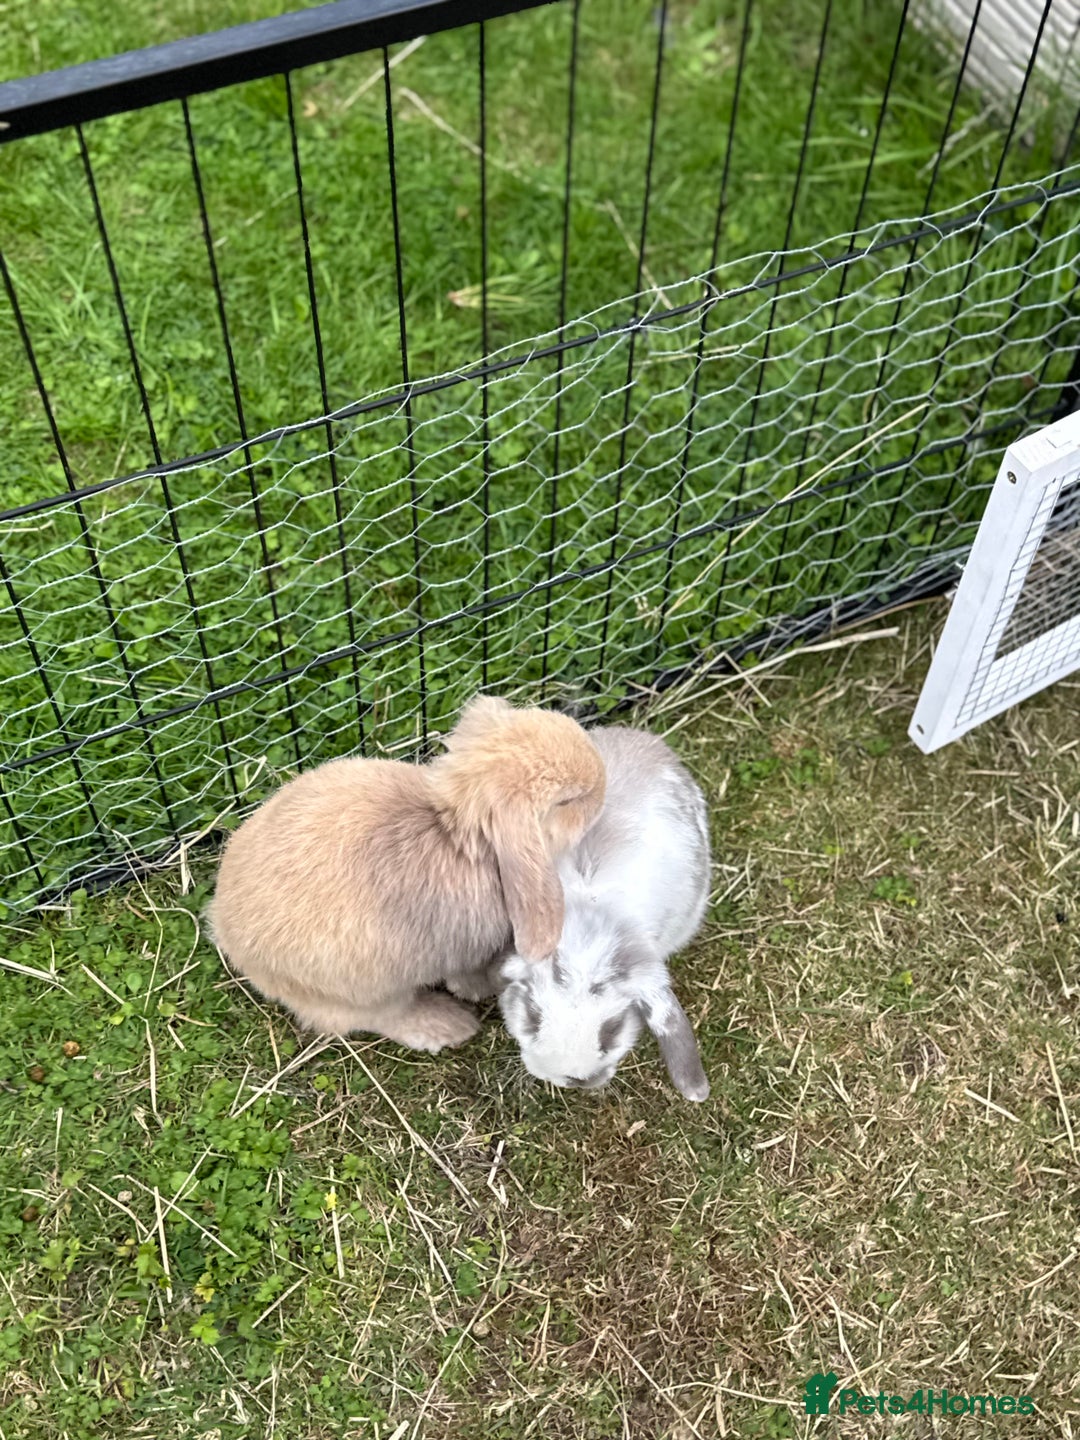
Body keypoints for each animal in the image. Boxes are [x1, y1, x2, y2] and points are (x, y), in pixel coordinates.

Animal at [205, 695, 606, 1053]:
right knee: (377, 1018)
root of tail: (225, 931)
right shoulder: (465, 949)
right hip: (363, 993)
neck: (453, 836)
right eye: (568, 801)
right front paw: (485, 989)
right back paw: (448, 1025)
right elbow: (468, 977)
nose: (602, 779)